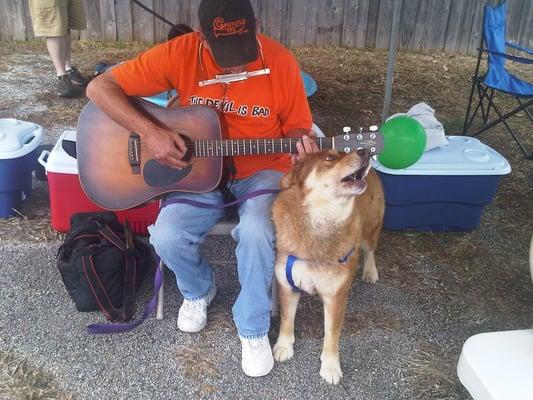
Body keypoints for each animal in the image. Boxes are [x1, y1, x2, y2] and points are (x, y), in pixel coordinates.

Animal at [274, 148, 382, 384]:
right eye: (330, 158)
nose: (364, 151)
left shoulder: (335, 297)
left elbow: (332, 334)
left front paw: (331, 367)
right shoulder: (287, 285)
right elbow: (286, 320)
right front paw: (283, 346)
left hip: (370, 229)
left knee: (370, 249)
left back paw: (370, 271)